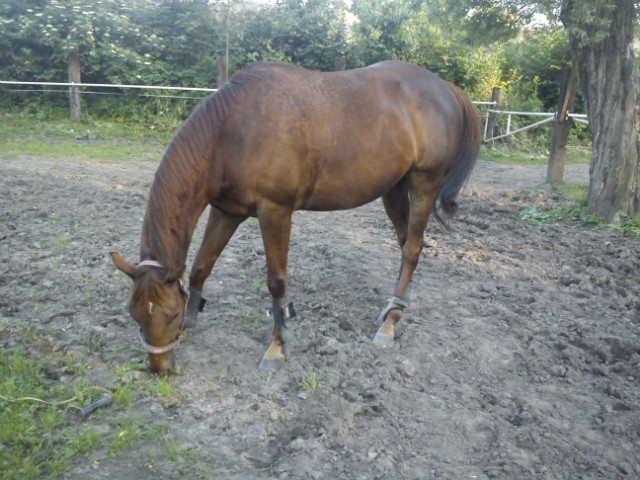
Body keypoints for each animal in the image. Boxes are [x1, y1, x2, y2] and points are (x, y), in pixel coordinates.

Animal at [110, 60, 480, 374]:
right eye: (134, 313)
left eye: (170, 313)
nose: (160, 368)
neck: (231, 130)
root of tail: (446, 88)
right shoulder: (227, 211)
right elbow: (202, 265)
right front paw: (192, 322)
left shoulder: (275, 211)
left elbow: (277, 283)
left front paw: (277, 347)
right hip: (393, 189)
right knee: (407, 246)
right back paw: (396, 306)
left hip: (423, 184)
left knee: (412, 248)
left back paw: (391, 324)